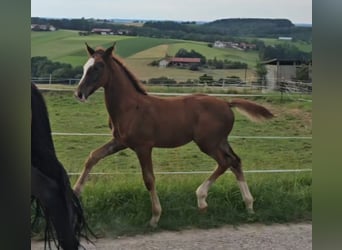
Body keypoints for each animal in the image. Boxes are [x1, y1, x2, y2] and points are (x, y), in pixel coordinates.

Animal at [73, 42, 274, 227]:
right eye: (84, 67)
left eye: (97, 67)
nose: (79, 93)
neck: (130, 107)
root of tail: (227, 103)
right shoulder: (120, 141)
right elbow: (93, 157)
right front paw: (75, 193)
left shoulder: (143, 147)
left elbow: (149, 179)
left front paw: (155, 216)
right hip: (220, 141)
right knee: (235, 162)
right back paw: (249, 205)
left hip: (208, 143)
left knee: (225, 162)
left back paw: (202, 199)